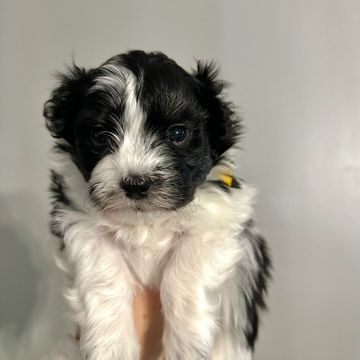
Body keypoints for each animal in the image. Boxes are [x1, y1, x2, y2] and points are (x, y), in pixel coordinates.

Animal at [43, 50, 272, 360]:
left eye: (177, 134)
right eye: (100, 137)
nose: (136, 183)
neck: (146, 223)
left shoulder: (221, 219)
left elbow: (183, 271)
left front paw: (187, 346)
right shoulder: (80, 222)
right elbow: (104, 273)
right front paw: (111, 346)